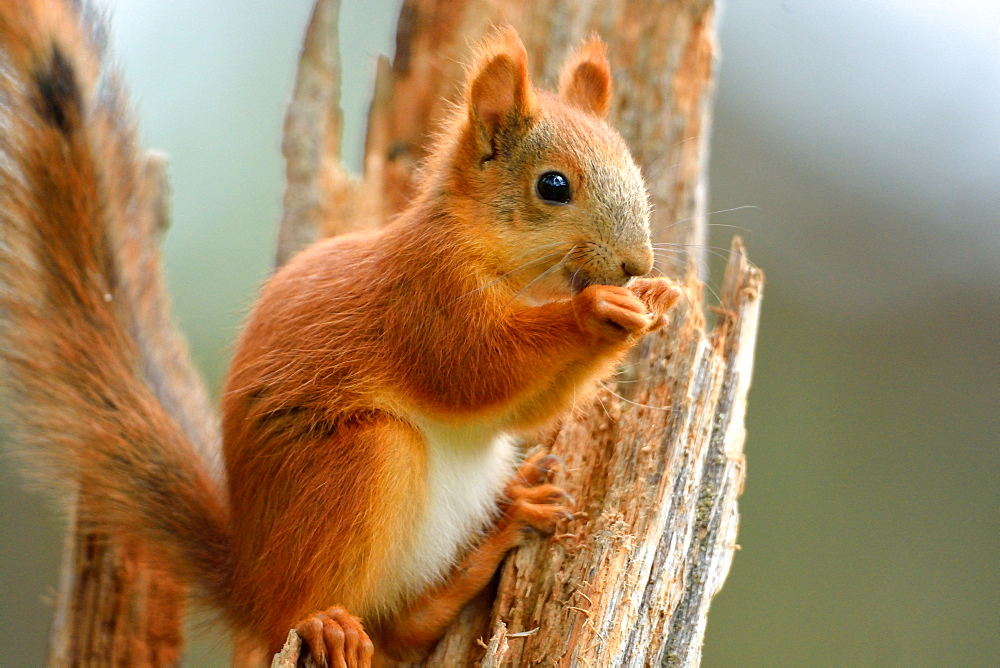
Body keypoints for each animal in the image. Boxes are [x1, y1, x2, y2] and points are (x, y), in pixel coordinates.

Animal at [0, 2, 680, 664]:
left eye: (633, 167)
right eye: (553, 185)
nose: (637, 263)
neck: (507, 268)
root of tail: (249, 582)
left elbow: (524, 412)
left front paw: (653, 301)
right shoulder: (426, 301)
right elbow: (476, 369)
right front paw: (595, 310)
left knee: (403, 627)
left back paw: (508, 523)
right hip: (358, 462)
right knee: (313, 615)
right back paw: (325, 623)